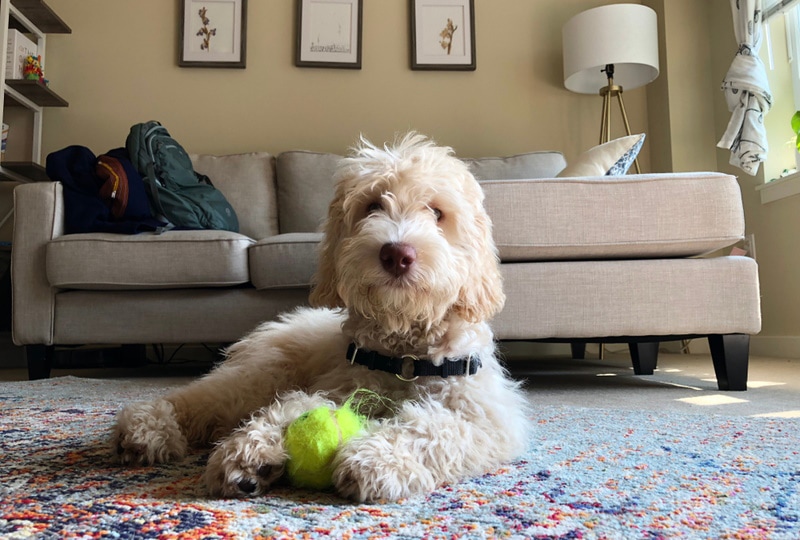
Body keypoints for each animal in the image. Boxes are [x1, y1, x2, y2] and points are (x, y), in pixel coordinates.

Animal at [109, 134, 528, 502]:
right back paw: (145, 427)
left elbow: (430, 427)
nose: (397, 254)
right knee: (201, 397)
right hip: (262, 373)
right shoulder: (339, 388)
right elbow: (293, 406)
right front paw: (250, 451)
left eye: (437, 213)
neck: (404, 357)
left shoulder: (482, 414)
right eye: (373, 205)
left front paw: (375, 459)